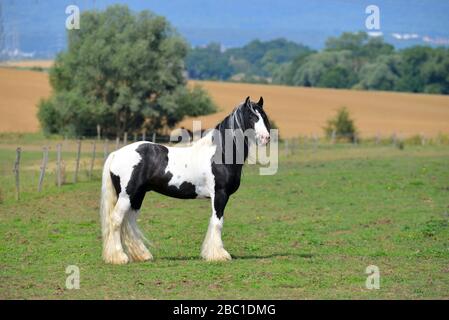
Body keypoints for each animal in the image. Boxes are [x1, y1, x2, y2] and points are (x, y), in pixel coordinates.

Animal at [100, 96, 272, 264]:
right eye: (252, 116)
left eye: (263, 116)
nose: (266, 138)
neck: (220, 154)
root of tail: (116, 153)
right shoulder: (220, 194)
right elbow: (217, 223)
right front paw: (219, 255)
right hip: (126, 195)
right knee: (116, 220)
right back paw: (118, 257)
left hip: (137, 195)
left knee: (129, 221)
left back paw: (142, 255)